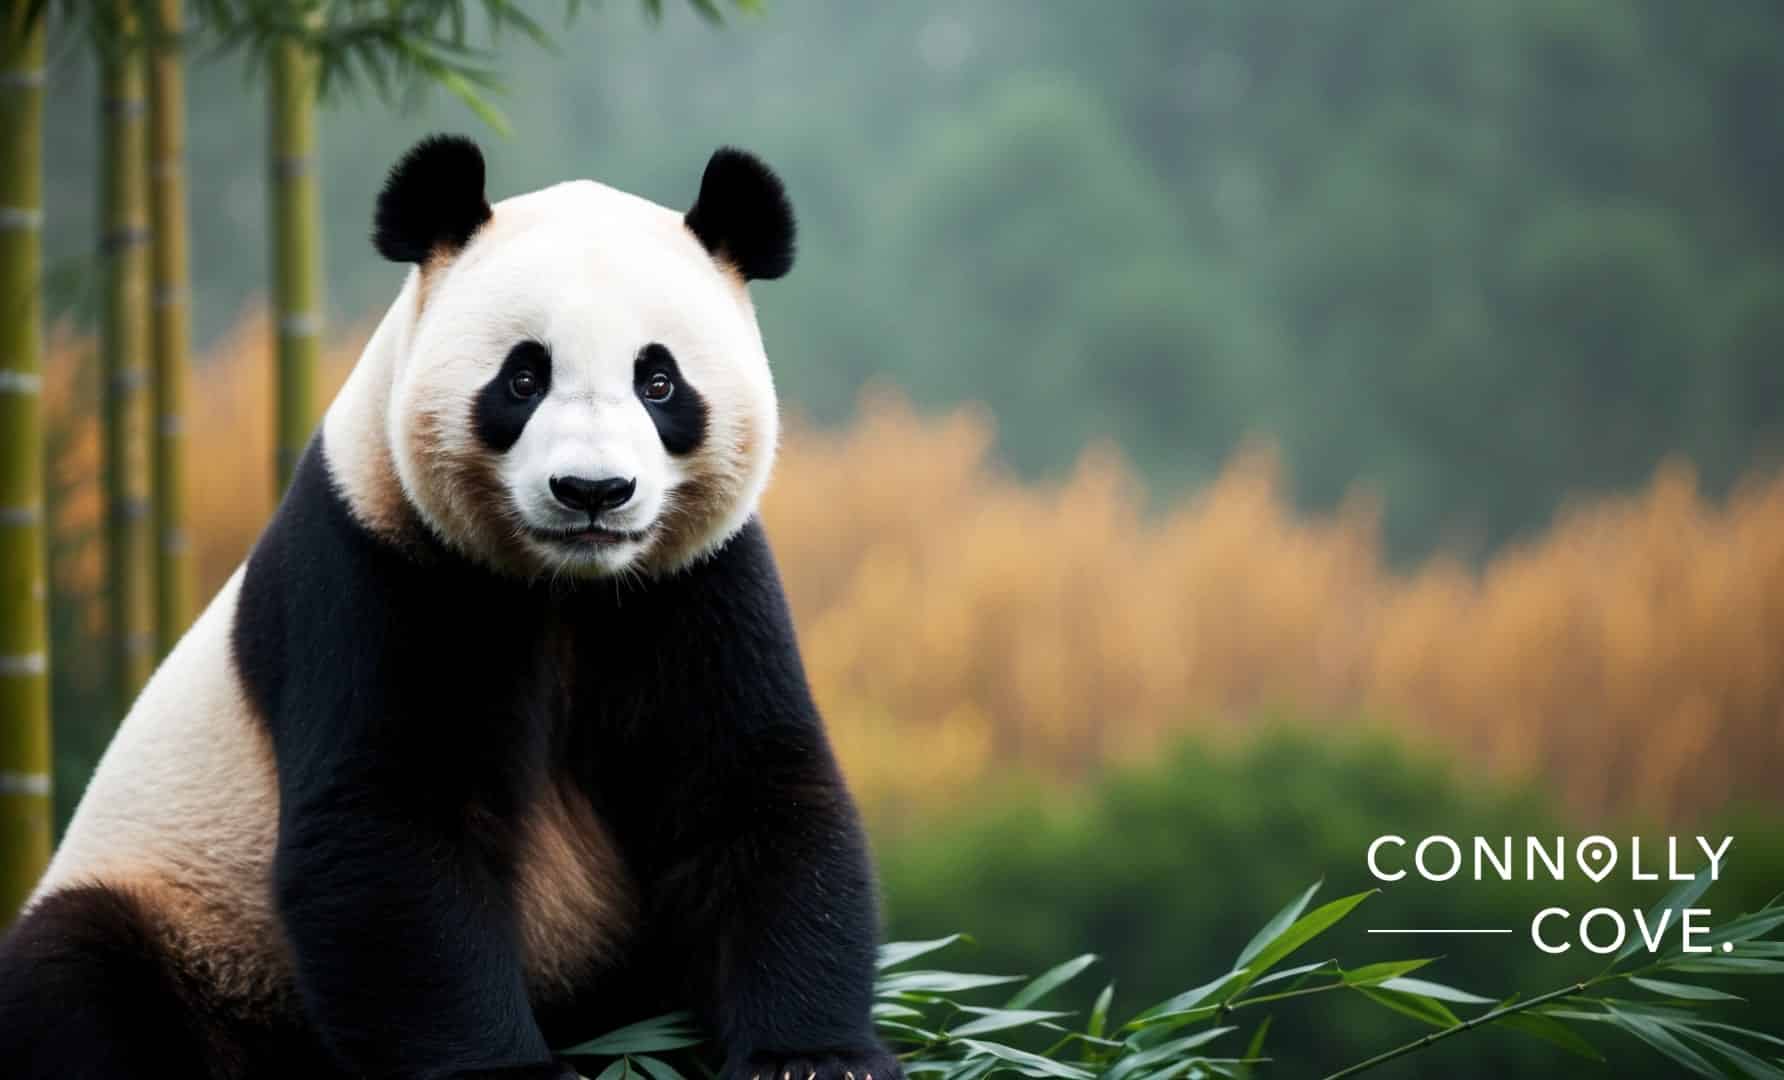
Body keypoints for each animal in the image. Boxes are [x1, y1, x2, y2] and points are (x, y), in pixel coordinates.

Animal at [0, 135, 897, 1080]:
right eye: (524, 377)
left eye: (659, 382)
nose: (592, 491)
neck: (566, 583)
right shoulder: (370, 563)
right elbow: (390, 827)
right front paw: (500, 1068)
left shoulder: (694, 585)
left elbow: (749, 792)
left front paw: (815, 1056)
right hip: (186, 908)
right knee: (79, 977)